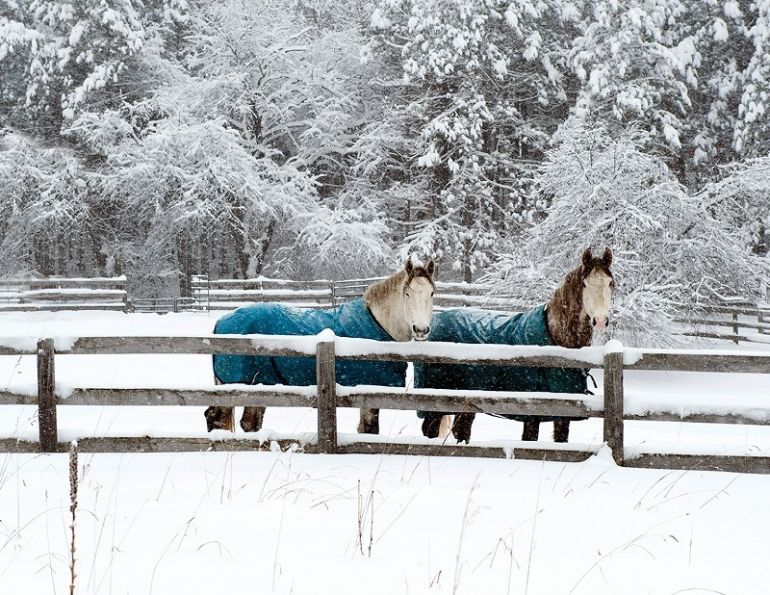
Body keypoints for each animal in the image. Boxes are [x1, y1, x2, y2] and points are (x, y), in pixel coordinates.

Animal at [205, 257, 436, 434]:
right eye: (407, 293)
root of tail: (221, 322)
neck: (377, 324)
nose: (421, 330)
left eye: (432, 293)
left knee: (245, 422)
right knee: (221, 419)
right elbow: (370, 430)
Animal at [416, 247, 614, 444]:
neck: (556, 341)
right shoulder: (532, 413)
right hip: (434, 404)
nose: (600, 320)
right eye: (585, 284)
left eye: (611, 283)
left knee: (462, 431)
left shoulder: (564, 413)